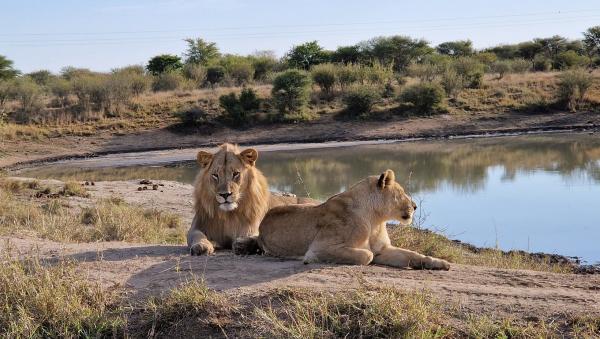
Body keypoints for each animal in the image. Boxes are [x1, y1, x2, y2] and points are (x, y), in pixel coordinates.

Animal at [234, 170, 450, 270]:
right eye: (401, 193)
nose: (414, 206)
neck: (375, 219)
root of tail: (263, 222)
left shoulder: (383, 249)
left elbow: (413, 255)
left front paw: (440, 263)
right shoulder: (319, 248)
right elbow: (366, 255)